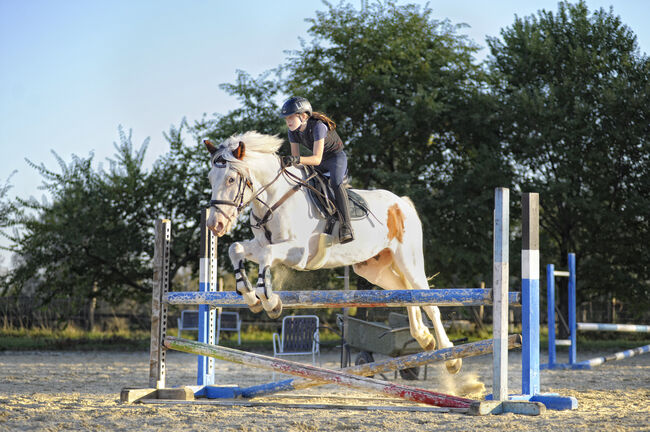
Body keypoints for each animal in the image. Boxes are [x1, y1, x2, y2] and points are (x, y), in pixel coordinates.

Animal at [205, 132, 458, 374]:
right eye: (210, 178)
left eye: (230, 179)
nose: (214, 225)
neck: (274, 199)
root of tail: (401, 204)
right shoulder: (260, 244)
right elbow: (236, 249)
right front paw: (248, 295)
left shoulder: (298, 252)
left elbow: (266, 255)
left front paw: (270, 302)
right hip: (374, 269)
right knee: (406, 293)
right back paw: (424, 339)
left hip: (409, 260)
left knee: (430, 303)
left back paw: (450, 358)